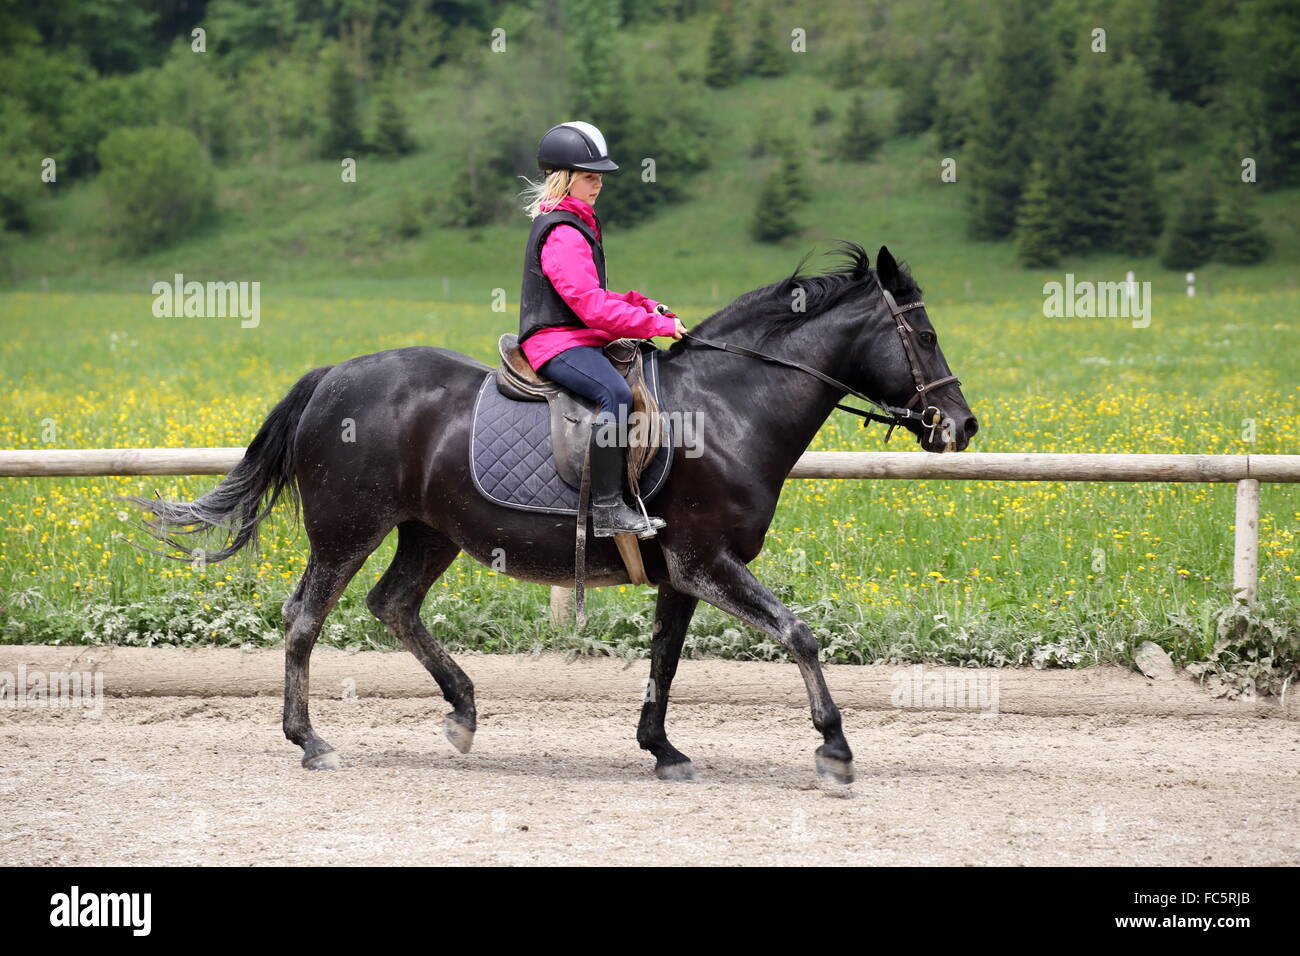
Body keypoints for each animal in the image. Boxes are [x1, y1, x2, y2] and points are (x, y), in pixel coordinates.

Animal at [124, 243, 977, 780]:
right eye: (926, 333)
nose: (963, 426)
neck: (731, 406)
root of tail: (333, 375)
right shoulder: (708, 561)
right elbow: (797, 632)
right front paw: (834, 746)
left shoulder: (683, 572)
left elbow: (666, 658)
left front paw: (661, 748)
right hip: (347, 531)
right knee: (305, 617)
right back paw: (310, 741)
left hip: (430, 533)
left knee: (393, 604)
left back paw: (463, 710)